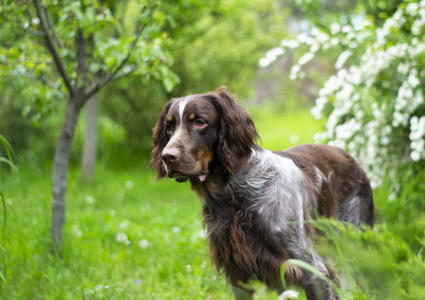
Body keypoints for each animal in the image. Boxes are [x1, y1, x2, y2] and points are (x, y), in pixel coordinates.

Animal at [150, 86, 374, 298]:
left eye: (200, 123)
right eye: (169, 127)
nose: (167, 157)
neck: (234, 194)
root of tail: (349, 156)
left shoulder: (314, 270)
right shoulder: (239, 276)